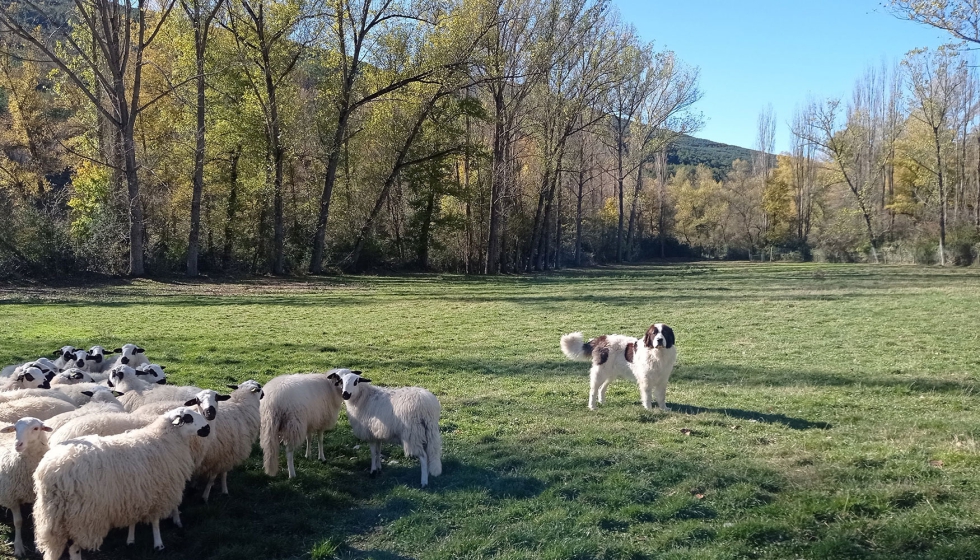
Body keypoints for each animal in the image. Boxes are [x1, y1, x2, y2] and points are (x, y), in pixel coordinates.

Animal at [0, 416, 52, 556]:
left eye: (36, 428)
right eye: (15, 428)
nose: (18, 445)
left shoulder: (35, 497)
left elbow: (34, 519)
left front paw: (37, 546)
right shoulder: (11, 497)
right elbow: (18, 522)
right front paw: (18, 547)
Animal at [33, 406, 212, 560]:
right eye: (188, 418)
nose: (207, 428)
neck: (165, 439)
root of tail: (51, 470)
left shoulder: (134, 493)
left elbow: (133, 519)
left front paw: (131, 540)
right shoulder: (159, 492)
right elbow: (155, 521)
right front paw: (159, 545)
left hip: (53, 518)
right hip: (83, 517)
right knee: (74, 548)